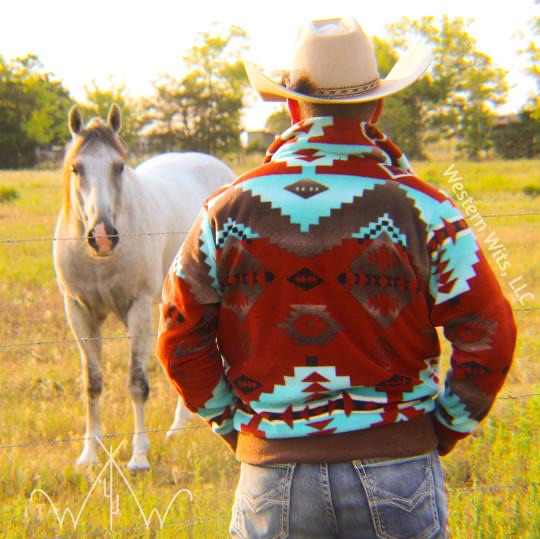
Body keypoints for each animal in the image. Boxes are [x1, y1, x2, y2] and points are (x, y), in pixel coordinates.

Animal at [52, 105, 234, 472]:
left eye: (119, 166)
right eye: (76, 168)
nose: (102, 236)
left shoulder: (136, 309)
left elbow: (137, 383)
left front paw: (138, 456)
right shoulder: (78, 312)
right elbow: (92, 383)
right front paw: (89, 455)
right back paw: (178, 428)